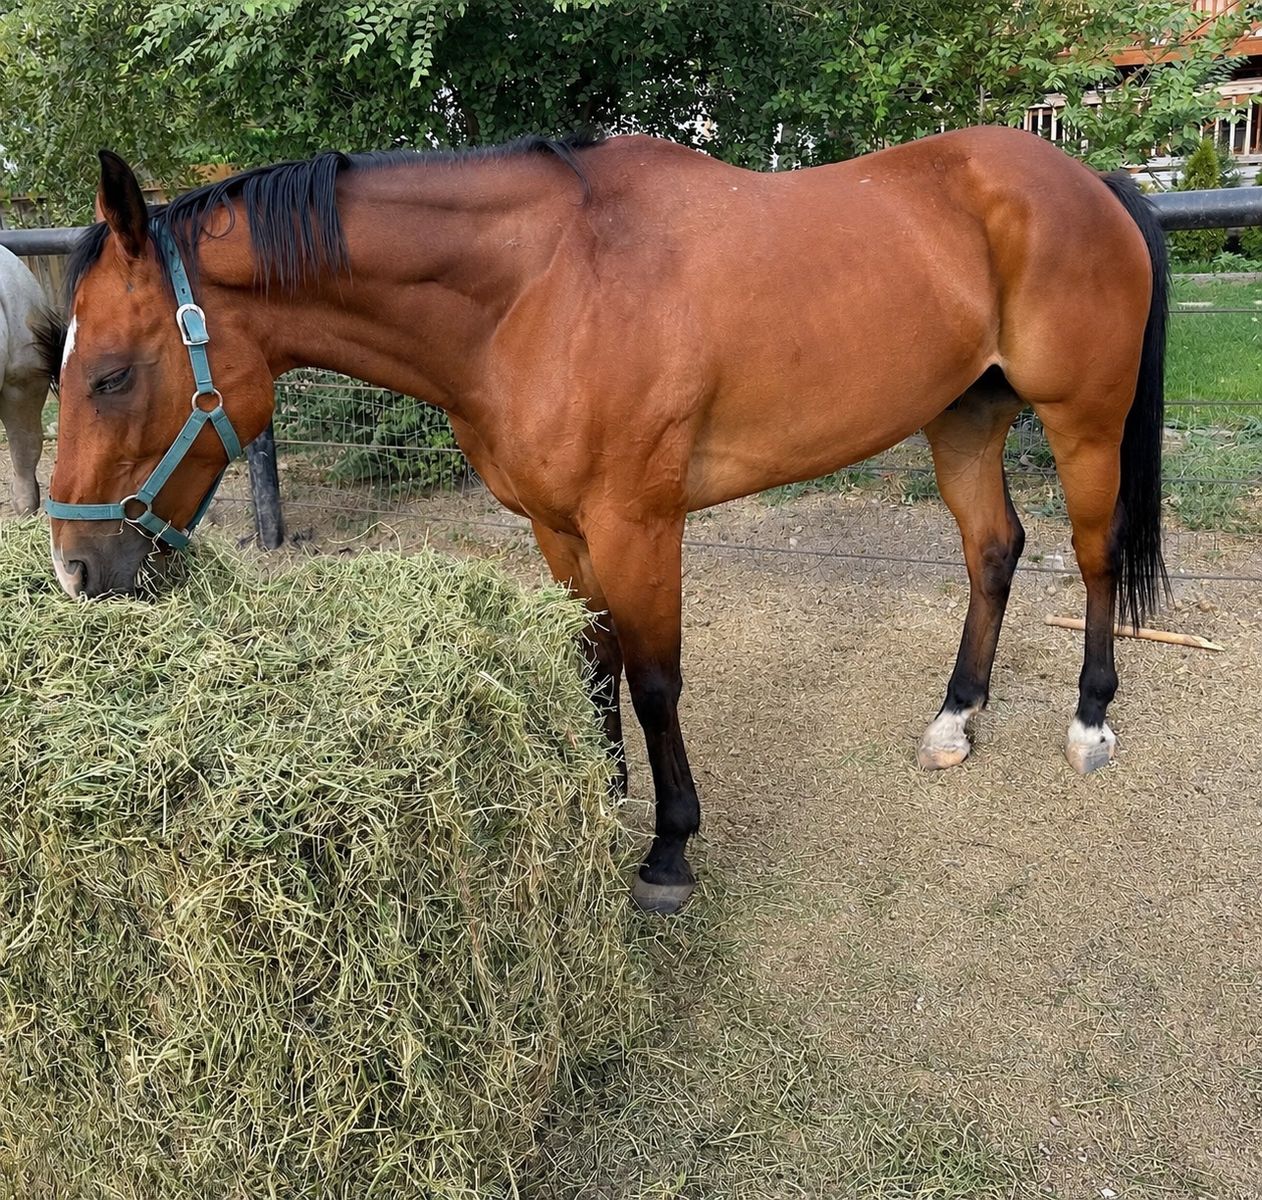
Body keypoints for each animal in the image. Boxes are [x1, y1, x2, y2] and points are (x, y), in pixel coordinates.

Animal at [43, 128, 1168, 913]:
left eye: (110, 375)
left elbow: (658, 681)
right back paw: (953, 719)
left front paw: (669, 847)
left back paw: (1088, 722)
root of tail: (1087, 181)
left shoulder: (640, 524)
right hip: (963, 419)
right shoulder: (561, 528)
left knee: (1091, 555)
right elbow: (593, 661)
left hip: (1083, 420)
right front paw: (596, 793)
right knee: (993, 551)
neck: (541, 288)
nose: (73, 570)